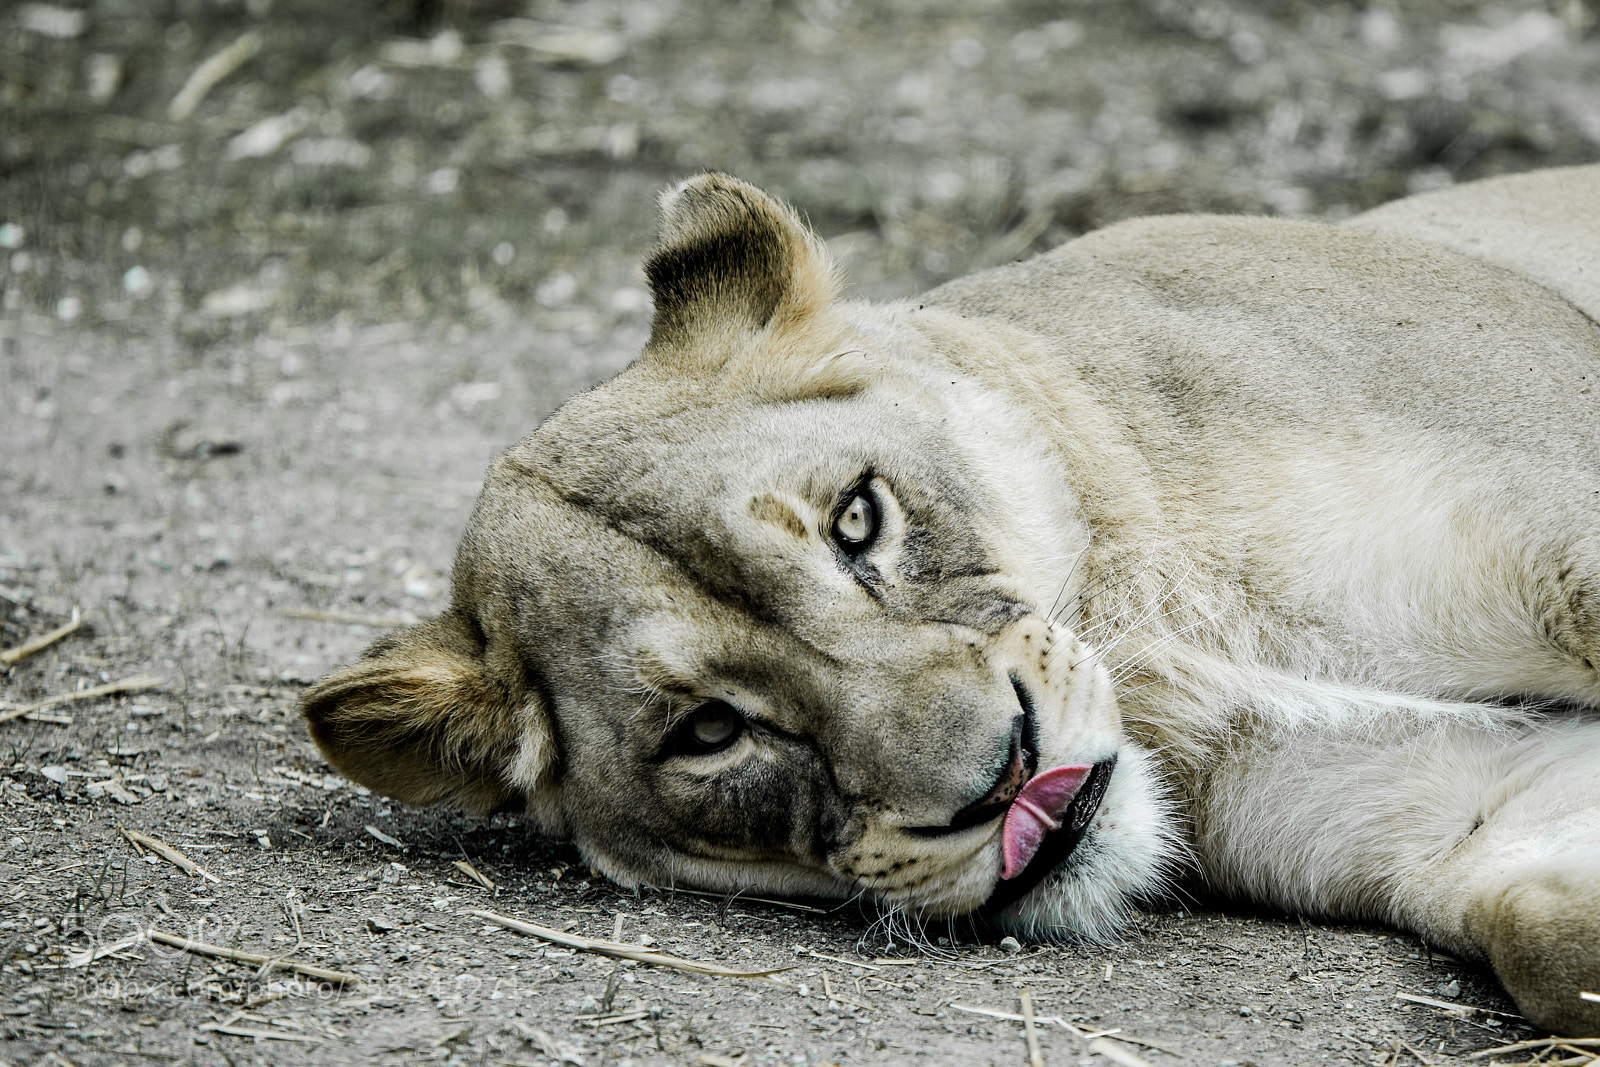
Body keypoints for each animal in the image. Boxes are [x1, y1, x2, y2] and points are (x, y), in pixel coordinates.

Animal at [303, 165, 1600, 1035]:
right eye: (710, 730)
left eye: (857, 520)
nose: (1002, 778)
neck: (1149, 637)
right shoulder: (1456, 802)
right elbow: (1547, 937)